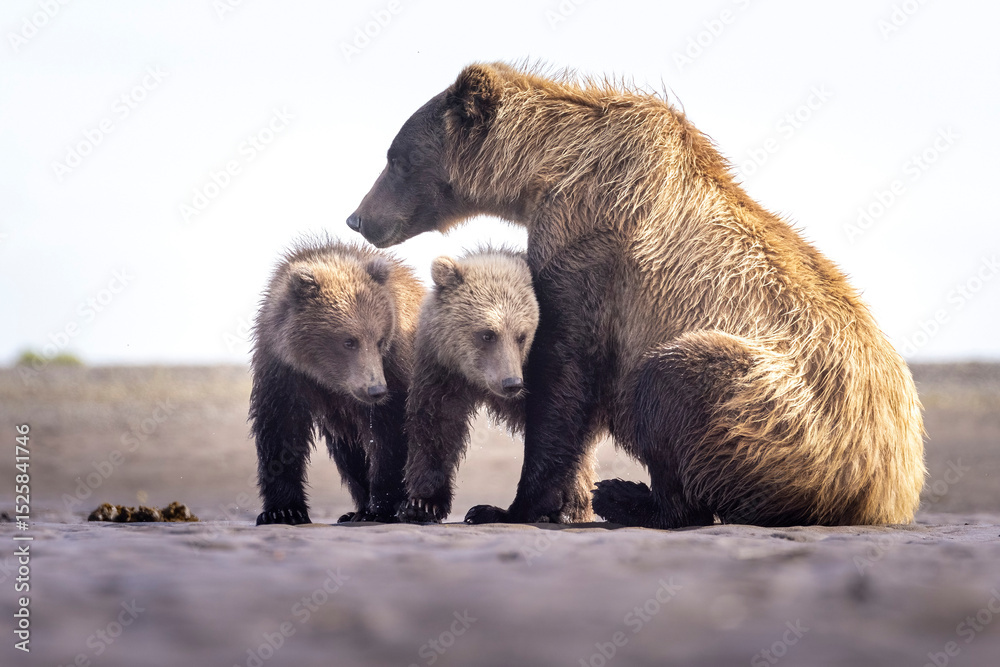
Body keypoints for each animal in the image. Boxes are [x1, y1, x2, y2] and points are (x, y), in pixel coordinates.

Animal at [249, 237, 424, 525]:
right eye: (348, 341)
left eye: (379, 339)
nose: (376, 389)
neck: (327, 378)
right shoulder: (282, 370)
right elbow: (280, 430)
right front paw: (283, 510)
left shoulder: (394, 367)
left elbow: (391, 435)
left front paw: (383, 506)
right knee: (348, 452)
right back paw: (355, 510)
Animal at [396, 248, 597, 523]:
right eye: (487, 334)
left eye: (522, 336)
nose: (512, 383)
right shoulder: (443, 368)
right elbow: (436, 424)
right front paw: (422, 503)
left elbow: (559, 428)